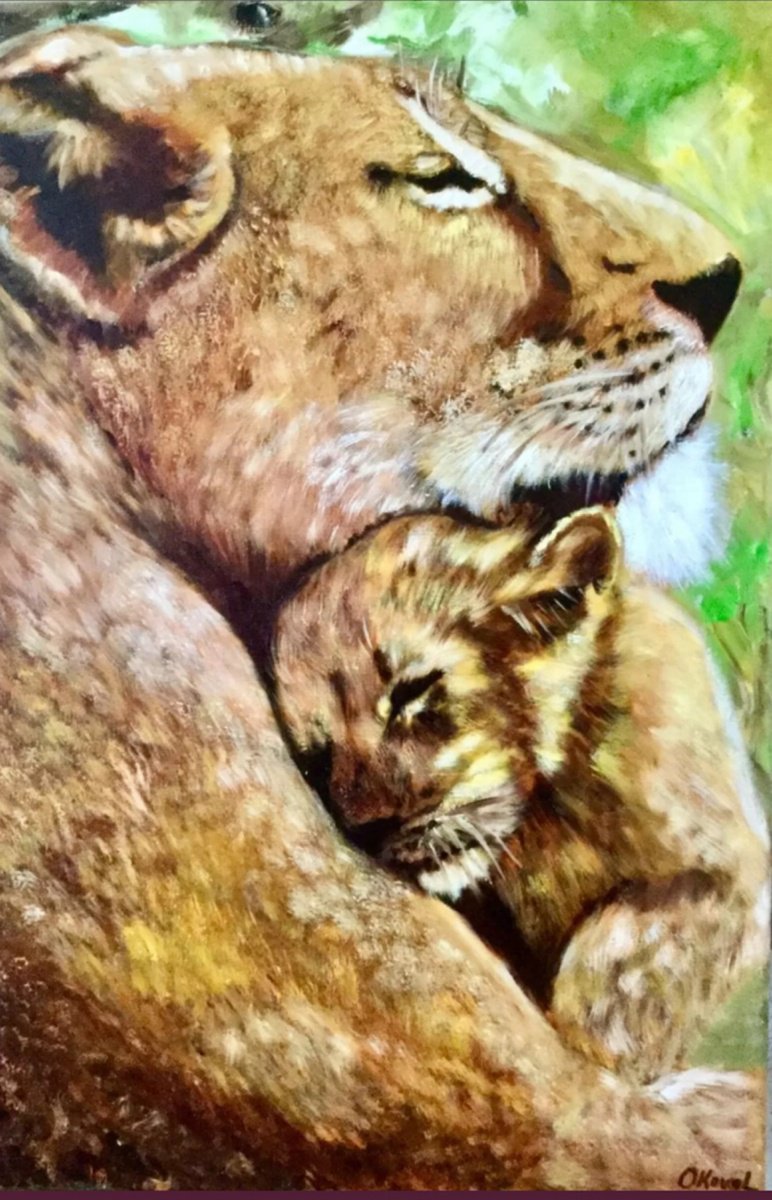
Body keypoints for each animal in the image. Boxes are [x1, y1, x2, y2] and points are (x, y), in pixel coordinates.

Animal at [273, 506, 769, 1082]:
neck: (548, 821)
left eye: (411, 691)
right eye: (316, 753)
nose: (369, 827)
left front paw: (599, 1045)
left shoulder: (734, 875)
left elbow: (633, 940)